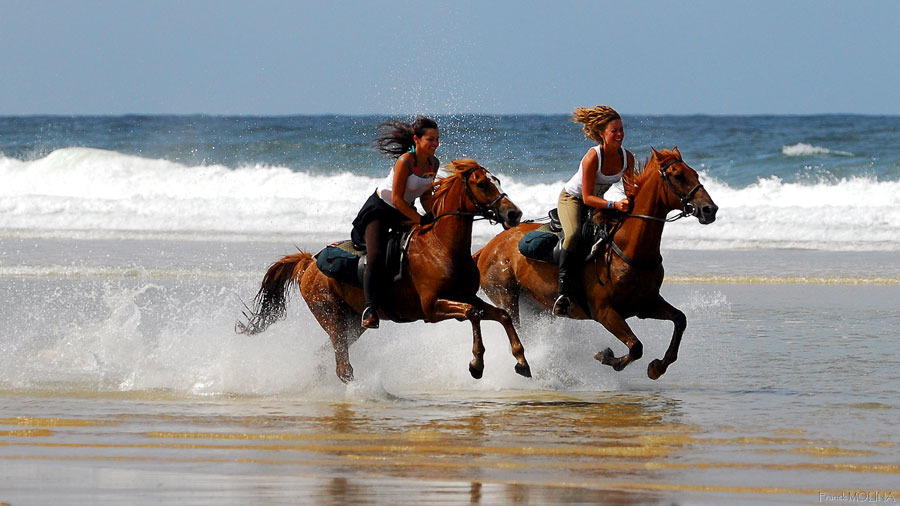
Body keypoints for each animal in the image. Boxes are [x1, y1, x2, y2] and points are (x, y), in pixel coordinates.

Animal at [238, 159, 532, 383]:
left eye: (497, 181)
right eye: (482, 184)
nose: (514, 214)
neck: (441, 246)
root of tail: (309, 263)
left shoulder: (466, 295)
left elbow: (501, 315)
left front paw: (521, 361)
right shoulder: (432, 308)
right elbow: (474, 314)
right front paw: (476, 364)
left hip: (352, 324)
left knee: (326, 357)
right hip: (331, 317)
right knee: (343, 367)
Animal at [473, 148, 718, 380]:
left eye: (695, 174)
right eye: (678, 176)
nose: (710, 210)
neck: (630, 248)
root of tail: (487, 248)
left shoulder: (646, 305)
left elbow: (679, 320)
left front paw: (657, 367)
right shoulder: (605, 312)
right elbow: (636, 347)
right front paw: (607, 357)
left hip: (537, 306)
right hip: (506, 296)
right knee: (518, 330)